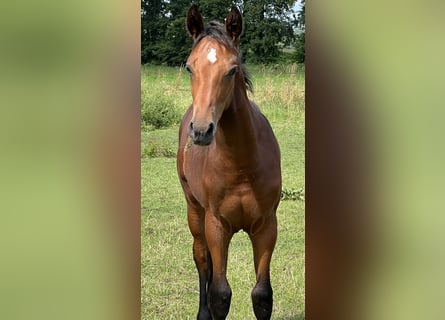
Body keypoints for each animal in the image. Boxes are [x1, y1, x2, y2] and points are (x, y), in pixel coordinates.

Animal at [177, 5, 280, 320]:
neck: (242, 167)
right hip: (195, 211)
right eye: (190, 67)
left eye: (232, 69)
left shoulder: (266, 226)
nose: (201, 130)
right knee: (201, 259)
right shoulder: (217, 226)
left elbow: (262, 295)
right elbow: (220, 294)